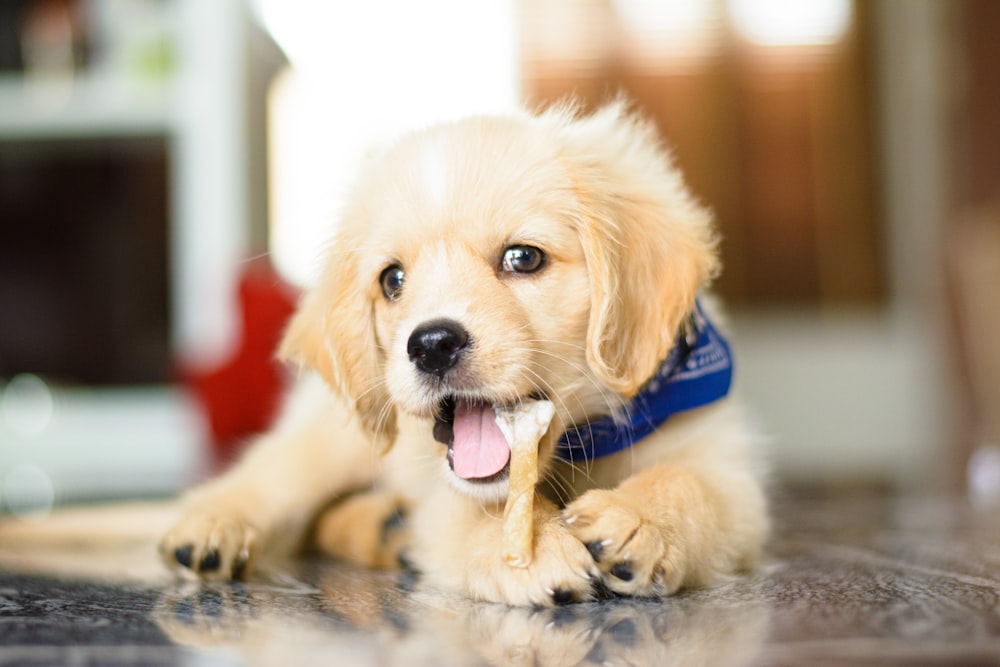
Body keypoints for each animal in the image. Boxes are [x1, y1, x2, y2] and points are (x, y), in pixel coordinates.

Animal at [160, 102, 768, 608]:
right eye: (392, 279)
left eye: (523, 258)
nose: (432, 345)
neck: (578, 445)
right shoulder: (438, 486)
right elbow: (473, 508)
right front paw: (528, 549)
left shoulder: (728, 470)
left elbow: (691, 485)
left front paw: (642, 520)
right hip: (333, 439)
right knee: (273, 477)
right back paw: (210, 526)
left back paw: (383, 529)